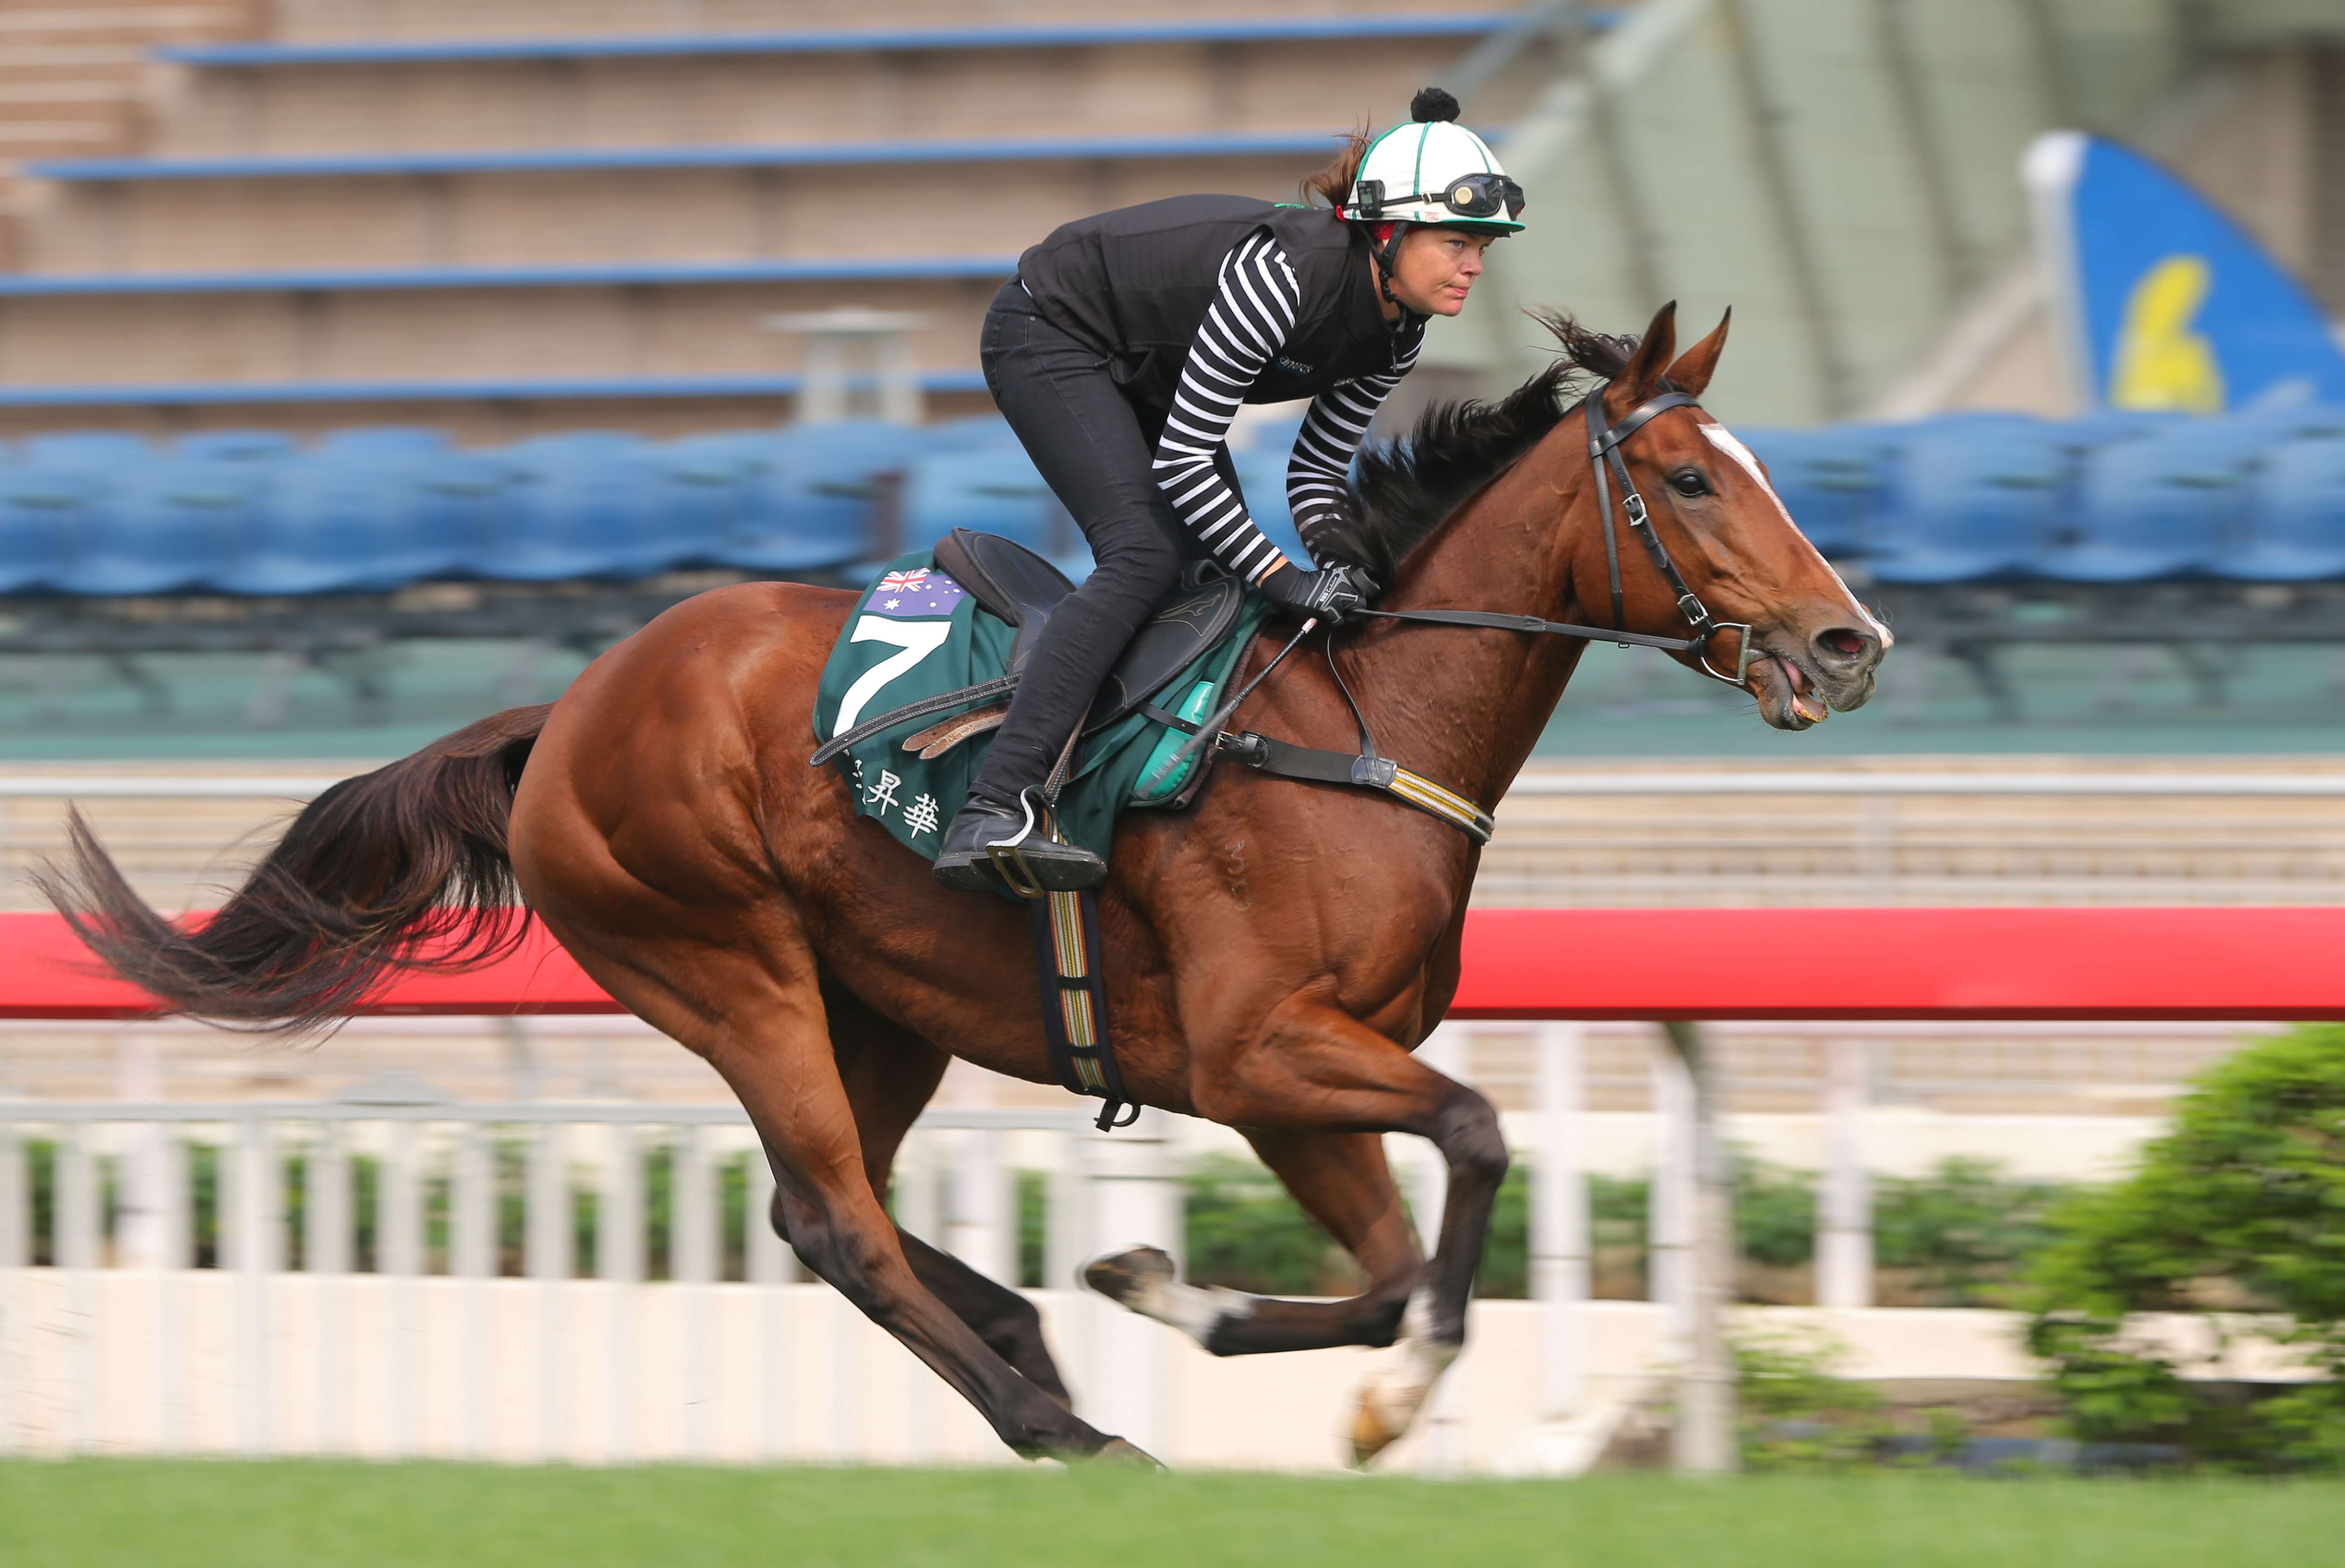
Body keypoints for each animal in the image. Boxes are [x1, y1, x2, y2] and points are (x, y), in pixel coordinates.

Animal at [41, 304, 1885, 1472]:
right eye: (1690, 478)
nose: (1846, 638)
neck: (1352, 726)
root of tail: (561, 711)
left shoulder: (1291, 1078)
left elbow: (1374, 1272)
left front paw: (1167, 1291)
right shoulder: (1255, 1049)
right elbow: (1480, 1142)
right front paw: (1385, 1397)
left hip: (883, 1005)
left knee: (836, 1209)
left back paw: (1030, 1341)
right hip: (727, 963)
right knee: (834, 1222)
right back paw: (1065, 1426)